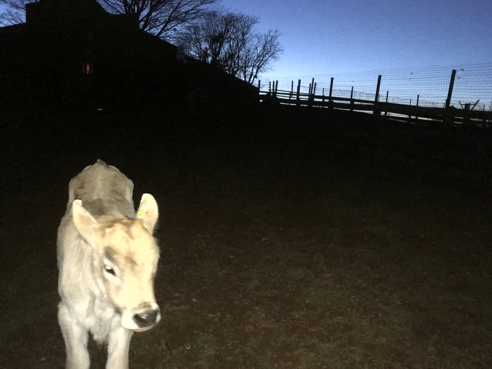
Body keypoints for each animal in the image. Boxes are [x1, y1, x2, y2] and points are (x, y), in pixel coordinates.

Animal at [57, 160, 160, 368]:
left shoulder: (121, 323)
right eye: (108, 268)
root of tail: (99, 164)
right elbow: (78, 360)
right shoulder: (67, 315)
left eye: (154, 262)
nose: (146, 317)